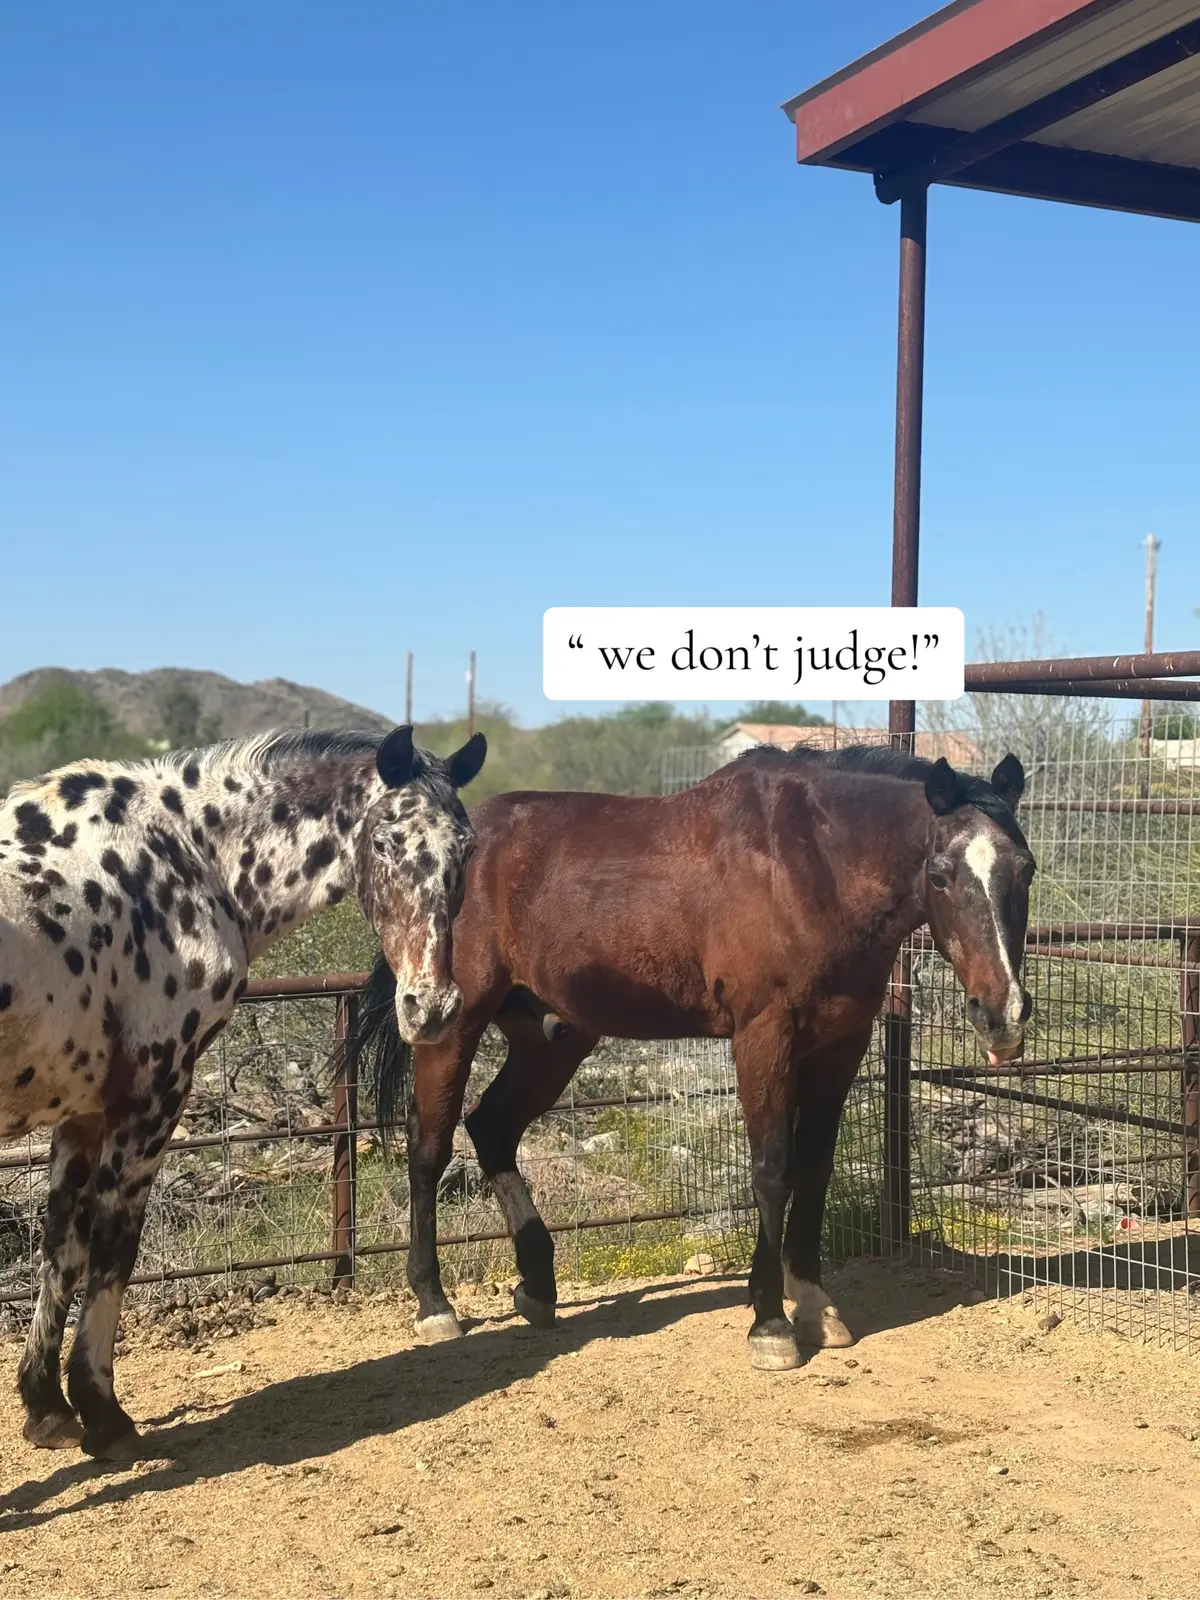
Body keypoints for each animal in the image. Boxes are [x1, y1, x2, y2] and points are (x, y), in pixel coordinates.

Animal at [2, 729, 489, 1465]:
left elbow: (61, 1248)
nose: (429, 1008)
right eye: (385, 842)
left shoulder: (84, 1115)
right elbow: (115, 1248)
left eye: (464, 848)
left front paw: (48, 1408)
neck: (181, 856)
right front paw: (103, 1413)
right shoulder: (152, 1099)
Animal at [345, 742, 1036, 1369]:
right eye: (941, 873)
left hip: (552, 1039)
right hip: (451, 1025)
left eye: (1025, 869)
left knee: (492, 1126)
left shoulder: (841, 1043)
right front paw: (770, 1325)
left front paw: (814, 1303)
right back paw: (435, 1305)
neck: (810, 867)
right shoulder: (764, 1034)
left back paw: (538, 1286)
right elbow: (772, 1170)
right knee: (429, 1147)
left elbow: (814, 1169)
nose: (1002, 1012)